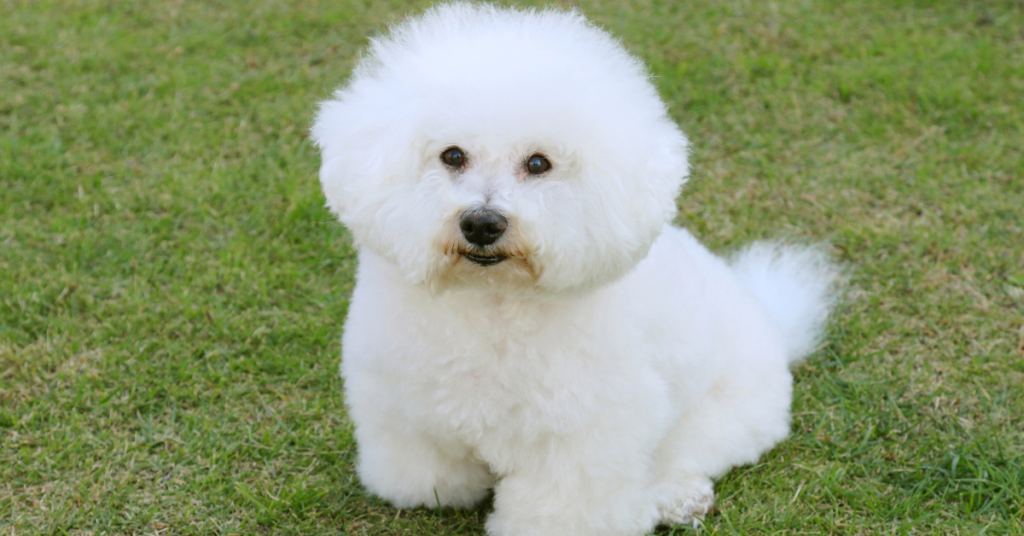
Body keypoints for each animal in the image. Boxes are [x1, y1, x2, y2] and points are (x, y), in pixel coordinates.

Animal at [311, 5, 839, 536]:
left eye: (538, 163)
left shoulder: (580, 440)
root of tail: (772, 323)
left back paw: (678, 499)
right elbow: (425, 464)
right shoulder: (402, 408)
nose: (482, 223)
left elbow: (565, 504)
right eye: (453, 155)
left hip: (727, 412)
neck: (491, 300)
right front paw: (431, 491)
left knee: (686, 453)